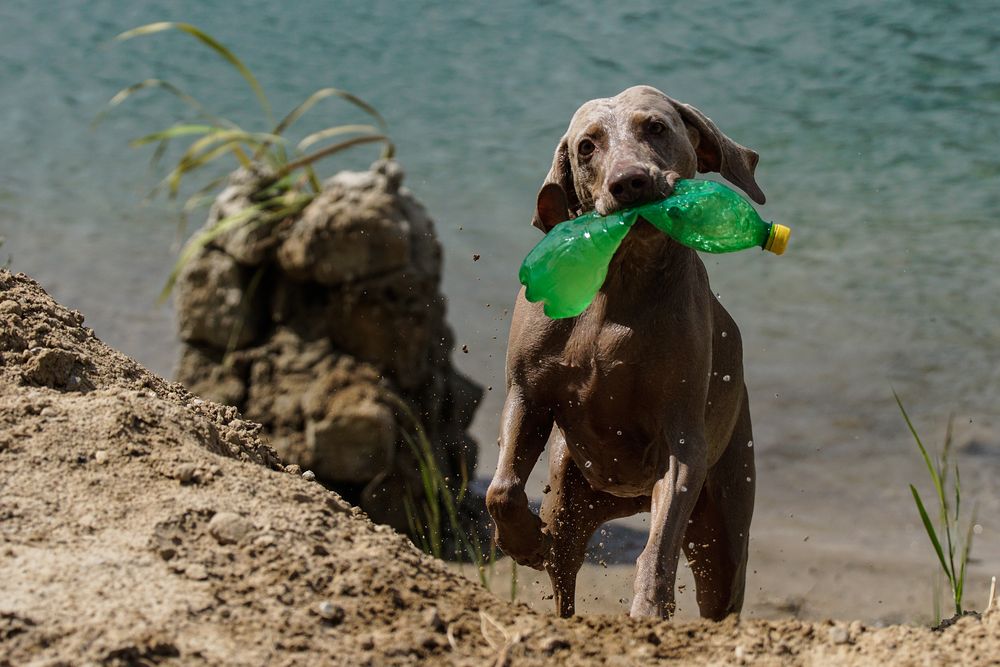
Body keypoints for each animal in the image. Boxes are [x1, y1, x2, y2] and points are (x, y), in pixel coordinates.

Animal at [486, 85, 764, 620]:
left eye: (656, 127)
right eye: (586, 147)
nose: (629, 182)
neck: (621, 280)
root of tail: (625, 502)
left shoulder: (682, 440)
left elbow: (657, 549)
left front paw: (650, 605)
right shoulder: (527, 393)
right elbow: (502, 489)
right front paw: (523, 542)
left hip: (724, 524)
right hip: (569, 498)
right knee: (563, 573)